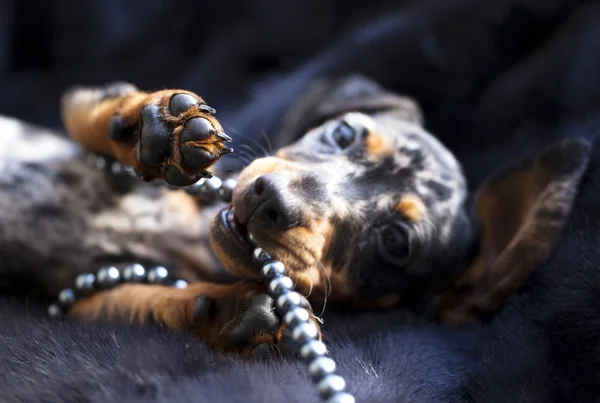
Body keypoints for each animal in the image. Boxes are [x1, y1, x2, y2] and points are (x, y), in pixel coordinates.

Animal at [0, 76, 592, 356]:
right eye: (344, 133)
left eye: (397, 244)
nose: (269, 199)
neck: (189, 238)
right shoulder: (79, 120)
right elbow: (93, 113)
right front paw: (149, 126)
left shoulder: (77, 295)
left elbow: (147, 299)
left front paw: (228, 312)